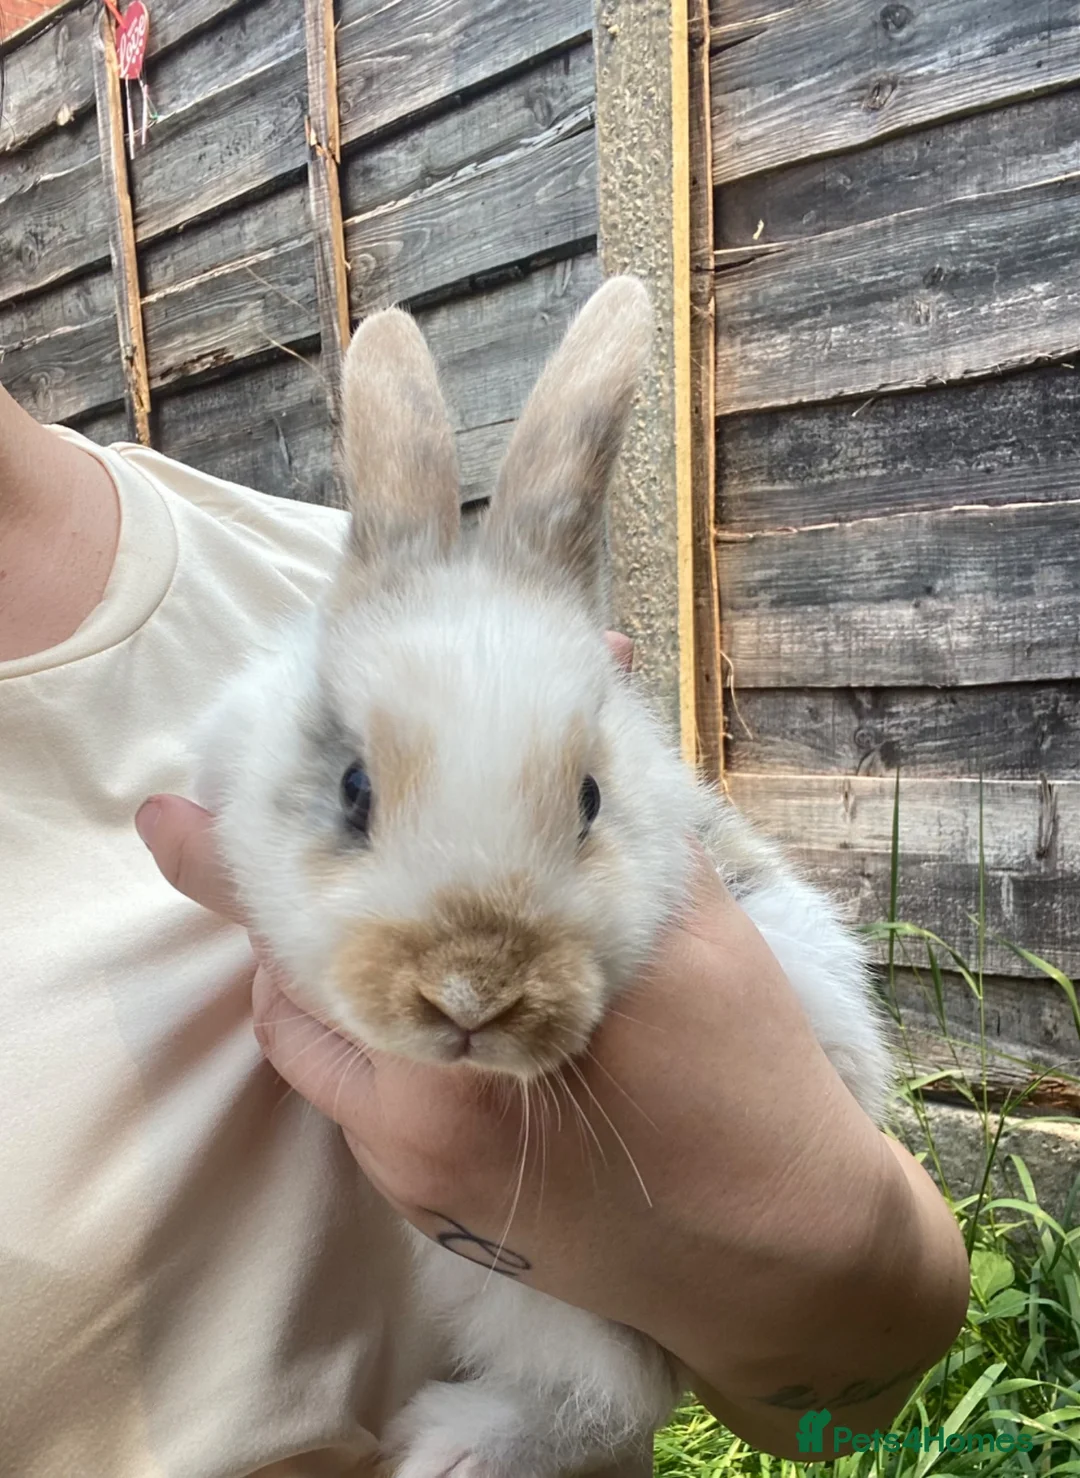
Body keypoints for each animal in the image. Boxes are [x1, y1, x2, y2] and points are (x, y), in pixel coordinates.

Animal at [194, 275, 894, 1478]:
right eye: (353, 789)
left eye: (591, 799)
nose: (472, 996)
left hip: (546, 1303)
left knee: (608, 1400)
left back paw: (448, 1442)